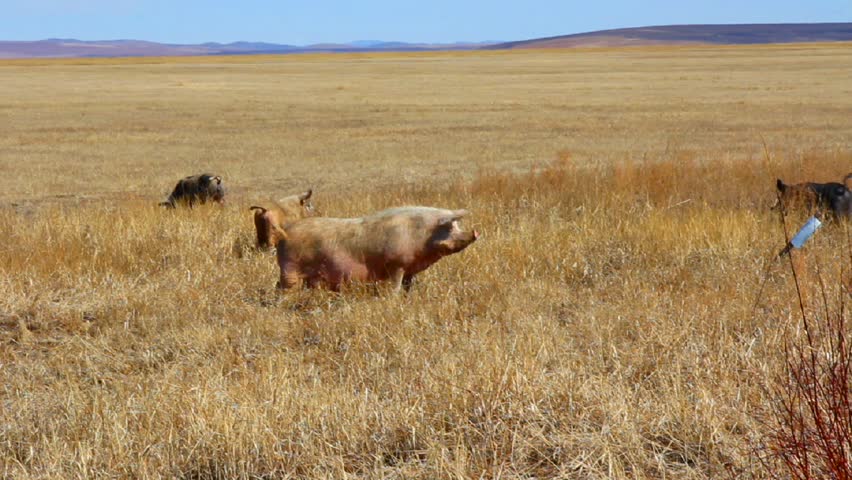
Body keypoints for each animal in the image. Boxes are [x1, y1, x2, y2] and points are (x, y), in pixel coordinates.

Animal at [273, 206, 479, 292]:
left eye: (457, 225)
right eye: (450, 227)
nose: (475, 232)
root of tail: (285, 234)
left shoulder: (410, 269)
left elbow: (408, 284)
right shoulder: (396, 264)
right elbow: (395, 285)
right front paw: (394, 299)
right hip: (289, 267)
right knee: (283, 286)